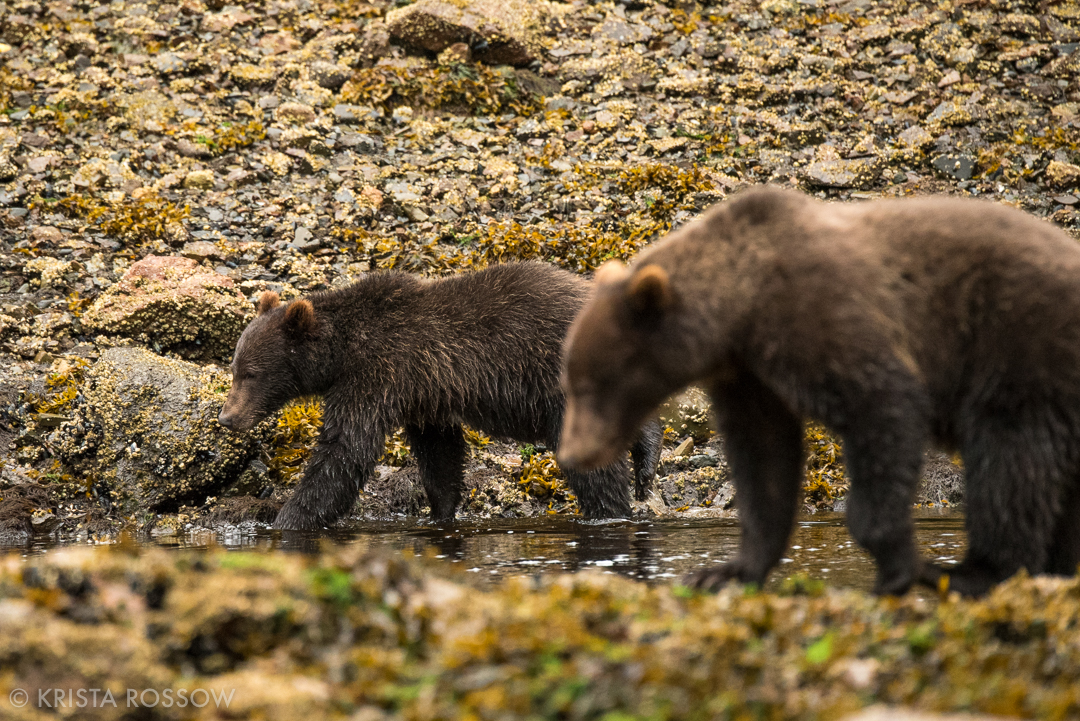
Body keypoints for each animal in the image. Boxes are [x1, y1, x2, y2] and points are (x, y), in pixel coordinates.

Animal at [217, 261, 661, 530]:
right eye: (234, 368)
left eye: (251, 374)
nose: (226, 418)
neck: (341, 351)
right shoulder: (423, 394)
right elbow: (440, 454)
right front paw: (442, 512)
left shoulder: (377, 374)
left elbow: (344, 451)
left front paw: (288, 520)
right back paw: (645, 466)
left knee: (594, 466)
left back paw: (610, 512)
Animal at [558, 184, 1080, 598]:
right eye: (569, 380)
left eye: (590, 383)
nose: (572, 454)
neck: (745, 308)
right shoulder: (750, 376)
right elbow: (764, 461)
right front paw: (725, 571)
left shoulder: (827, 316)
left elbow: (885, 409)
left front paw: (897, 569)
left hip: (1019, 349)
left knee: (1011, 461)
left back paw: (973, 572)